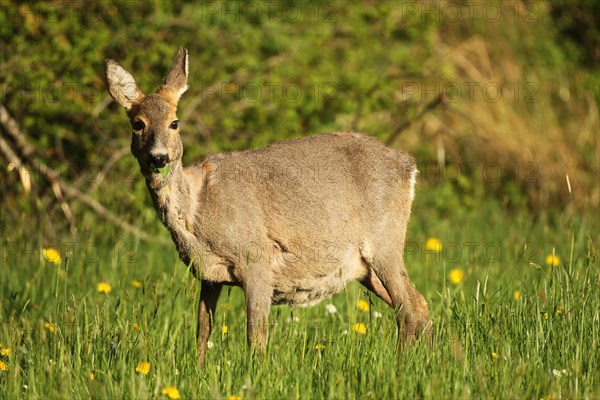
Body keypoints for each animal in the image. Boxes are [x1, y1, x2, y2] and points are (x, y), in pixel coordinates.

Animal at [104, 47, 432, 366]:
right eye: (138, 124)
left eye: (174, 122)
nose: (159, 158)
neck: (197, 211)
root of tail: (408, 165)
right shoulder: (209, 275)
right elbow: (202, 330)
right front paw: (197, 370)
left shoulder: (256, 256)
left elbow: (255, 336)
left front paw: (256, 375)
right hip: (364, 266)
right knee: (420, 303)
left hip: (384, 240)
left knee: (408, 308)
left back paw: (399, 368)